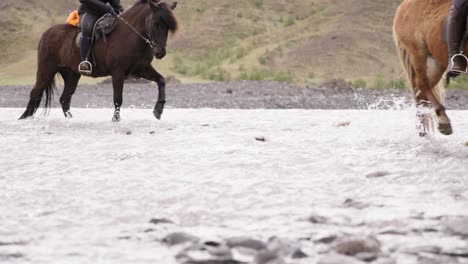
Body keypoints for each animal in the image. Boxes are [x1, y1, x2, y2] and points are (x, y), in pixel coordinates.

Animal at [19, 0, 179, 121]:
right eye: (156, 23)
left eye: (168, 27)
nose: (160, 53)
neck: (130, 36)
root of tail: (46, 33)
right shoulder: (118, 73)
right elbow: (118, 98)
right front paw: (116, 120)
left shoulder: (141, 69)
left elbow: (161, 80)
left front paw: (158, 110)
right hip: (46, 70)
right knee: (35, 93)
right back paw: (24, 118)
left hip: (72, 75)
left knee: (65, 99)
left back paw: (70, 119)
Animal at [394, 0, 456, 136]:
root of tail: (403, 5)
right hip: (418, 53)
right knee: (422, 83)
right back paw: (443, 121)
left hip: (436, 62)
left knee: (421, 91)